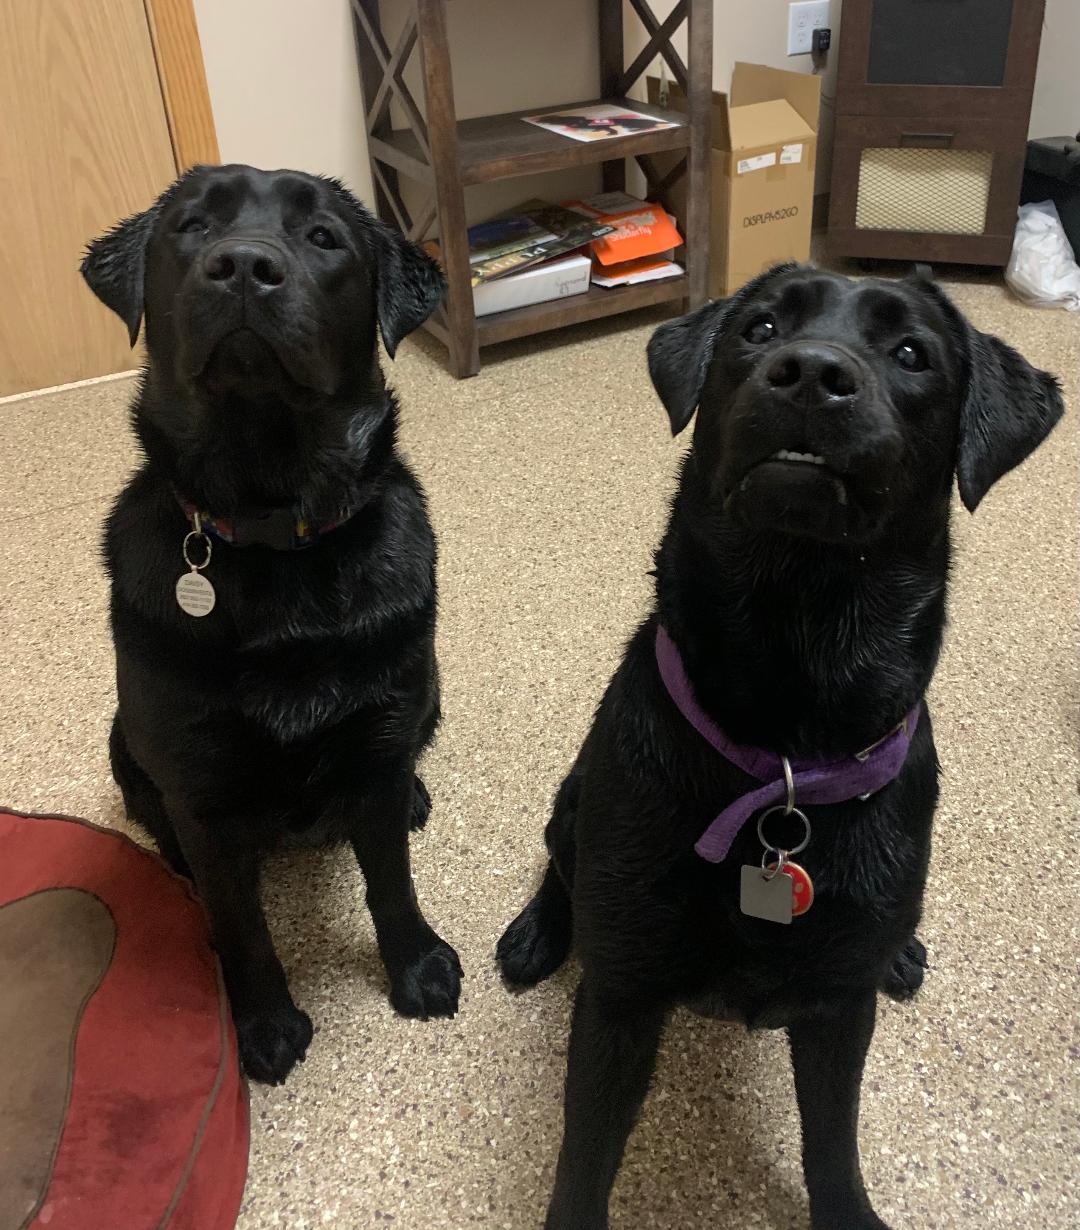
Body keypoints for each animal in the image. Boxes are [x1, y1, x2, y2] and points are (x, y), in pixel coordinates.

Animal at [80, 166, 460, 1087]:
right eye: (189, 227)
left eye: (324, 238)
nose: (245, 266)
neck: (273, 527)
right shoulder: (201, 786)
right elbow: (240, 924)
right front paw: (263, 1025)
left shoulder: (379, 735)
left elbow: (391, 879)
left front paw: (418, 967)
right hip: (123, 739)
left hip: (427, 694)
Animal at [499, 266, 1067, 1230]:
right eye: (758, 330)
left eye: (911, 352)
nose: (810, 373)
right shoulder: (620, 1000)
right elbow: (585, 1155)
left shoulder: (839, 1009)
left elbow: (832, 1140)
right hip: (576, 798)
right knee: (560, 862)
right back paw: (537, 932)